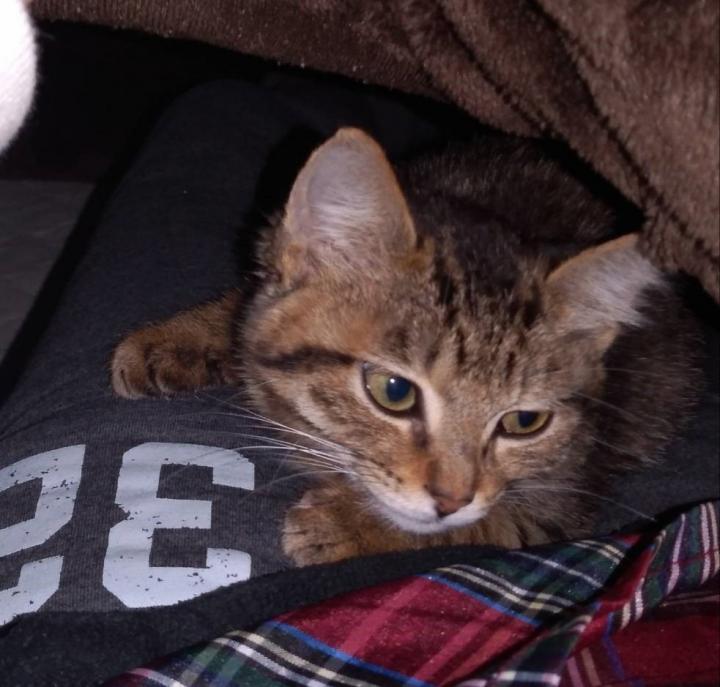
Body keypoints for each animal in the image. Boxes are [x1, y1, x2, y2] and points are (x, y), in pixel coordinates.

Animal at [111, 128, 697, 566]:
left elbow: (490, 524)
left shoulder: (562, 497)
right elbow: (248, 305)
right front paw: (175, 338)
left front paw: (348, 524)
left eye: (524, 422)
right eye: (393, 391)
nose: (452, 499)